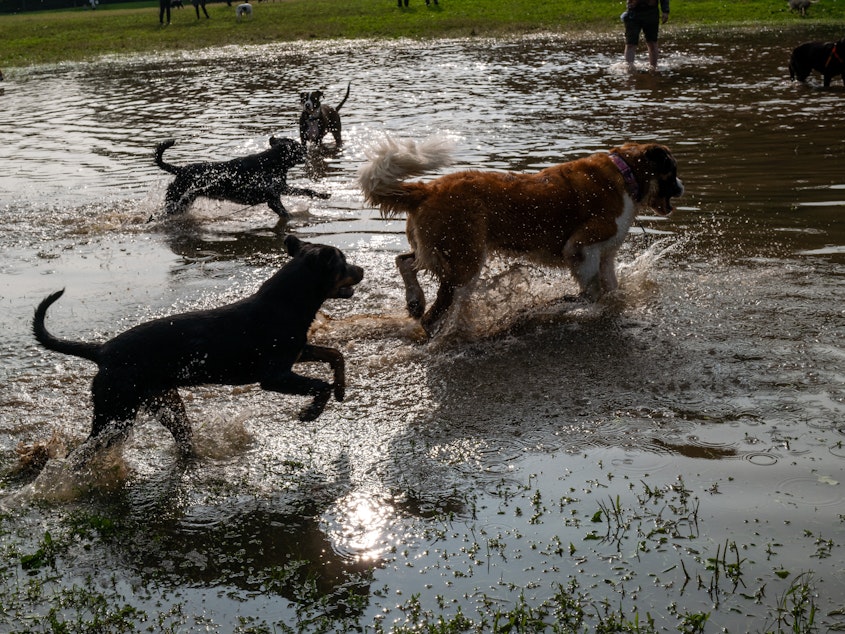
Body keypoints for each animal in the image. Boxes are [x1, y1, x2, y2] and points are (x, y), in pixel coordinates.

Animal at [32, 235, 362, 466]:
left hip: (165, 404)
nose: (361, 269)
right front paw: (311, 412)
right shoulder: (275, 376)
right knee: (83, 451)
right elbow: (319, 385)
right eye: (343, 263)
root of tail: (102, 351)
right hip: (116, 411)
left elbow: (336, 355)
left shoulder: (298, 352)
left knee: (181, 439)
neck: (289, 302)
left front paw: (342, 390)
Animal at [155, 136, 330, 217]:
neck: (271, 162)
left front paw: (322, 194)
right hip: (177, 200)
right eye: (297, 146)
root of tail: (180, 170)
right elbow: (287, 213)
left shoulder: (279, 191)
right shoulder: (273, 199)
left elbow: (305, 190)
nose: (306, 149)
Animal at [356, 137, 680, 336]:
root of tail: (428, 188)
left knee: (405, 261)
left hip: (437, 251)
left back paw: (415, 301)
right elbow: (592, 292)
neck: (627, 174)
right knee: (438, 309)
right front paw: (563, 304)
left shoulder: (606, 256)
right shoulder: (581, 248)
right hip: (465, 261)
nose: (681, 186)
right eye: (672, 171)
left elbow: (611, 289)